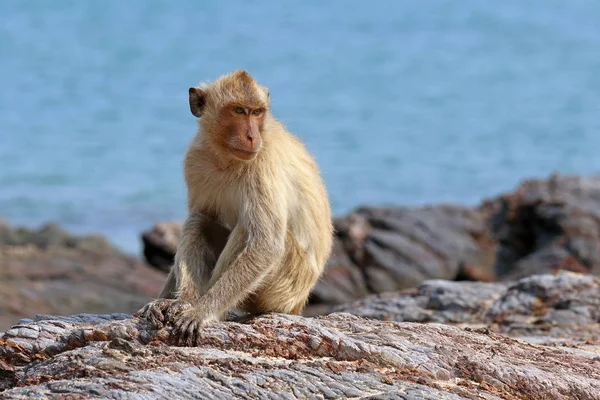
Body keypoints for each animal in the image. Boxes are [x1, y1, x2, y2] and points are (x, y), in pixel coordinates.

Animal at [135, 69, 332, 344]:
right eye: (239, 111)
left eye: (257, 112)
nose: (251, 136)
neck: (226, 157)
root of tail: (299, 304)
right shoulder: (195, 160)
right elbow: (200, 214)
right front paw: (165, 301)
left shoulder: (263, 164)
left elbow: (266, 245)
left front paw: (201, 311)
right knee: (198, 220)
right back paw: (184, 301)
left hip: (286, 285)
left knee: (247, 231)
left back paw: (202, 308)